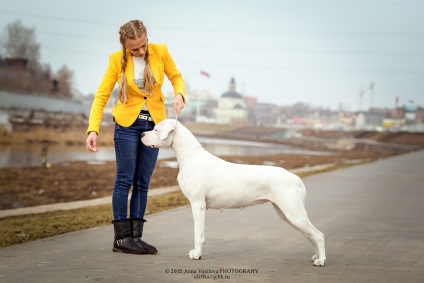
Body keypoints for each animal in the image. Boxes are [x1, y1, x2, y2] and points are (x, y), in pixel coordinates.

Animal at [141, 121, 326, 268]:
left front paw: (197, 254)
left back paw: (321, 261)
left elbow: (197, 233)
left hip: (294, 214)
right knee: (311, 236)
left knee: (318, 235)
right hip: (287, 214)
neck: (190, 156)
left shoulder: (197, 204)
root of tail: (295, 177)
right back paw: (316, 257)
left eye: (156, 130)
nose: (142, 134)